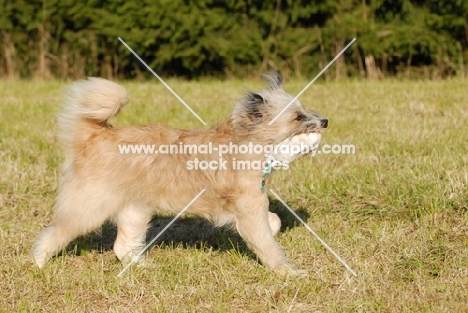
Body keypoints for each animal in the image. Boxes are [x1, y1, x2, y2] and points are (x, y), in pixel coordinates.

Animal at [33, 72, 328, 274]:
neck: (246, 141)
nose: (325, 121)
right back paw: (37, 263)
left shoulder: (251, 207)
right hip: (89, 209)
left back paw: (144, 266)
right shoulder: (250, 209)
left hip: (136, 210)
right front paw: (288, 272)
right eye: (298, 118)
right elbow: (268, 244)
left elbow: (273, 222)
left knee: (123, 246)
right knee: (53, 234)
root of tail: (95, 135)